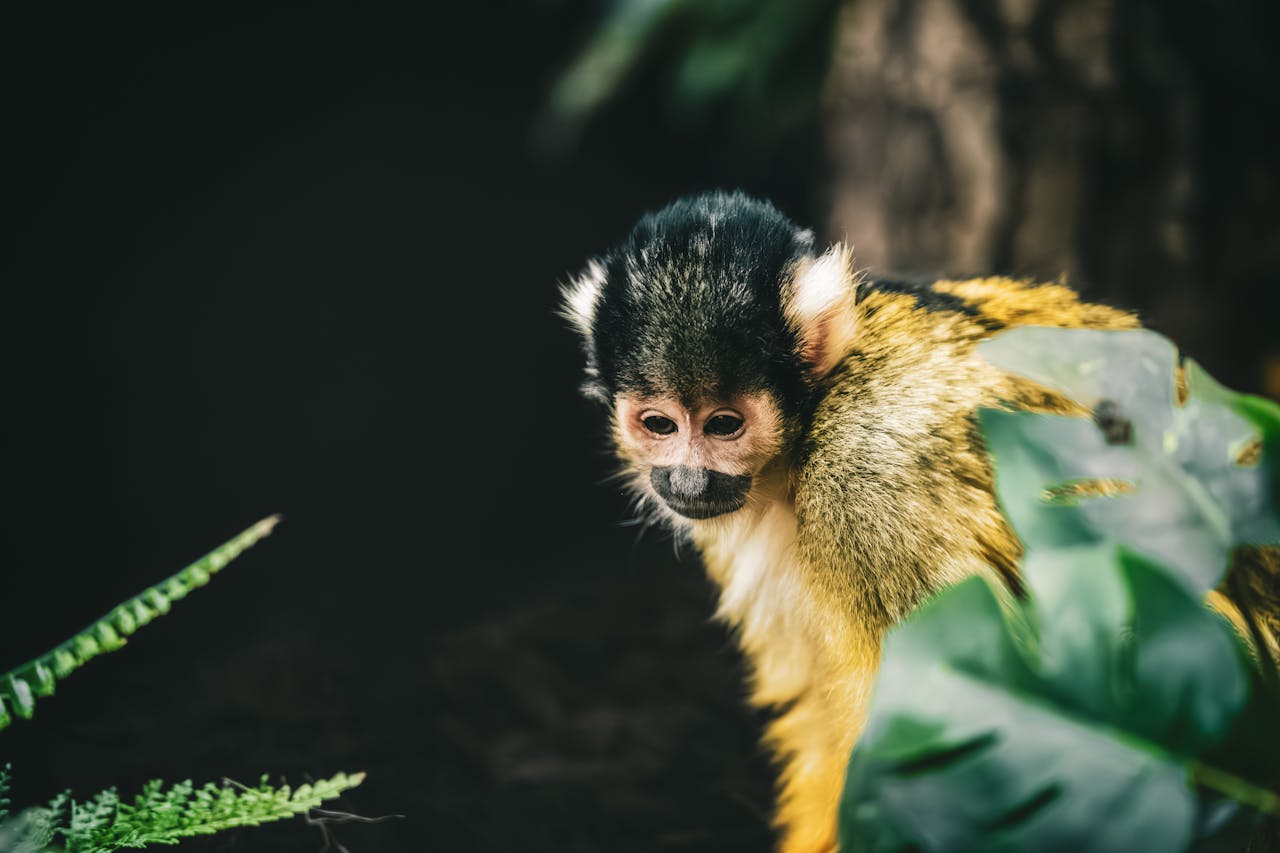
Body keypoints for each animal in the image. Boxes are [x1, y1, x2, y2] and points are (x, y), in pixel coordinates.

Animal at [561, 191, 1279, 853]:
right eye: (661, 424)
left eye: (725, 425)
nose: (687, 480)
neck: (808, 426)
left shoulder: (869, 475)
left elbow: (947, 721)